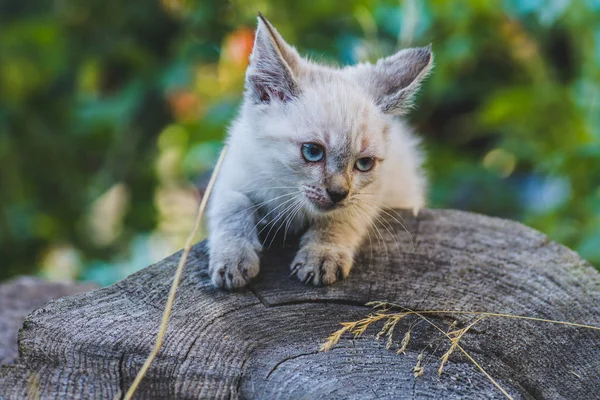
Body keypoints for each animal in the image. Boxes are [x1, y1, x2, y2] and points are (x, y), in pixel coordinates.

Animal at [206, 14, 432, 290]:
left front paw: (322, 255)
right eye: (313, 152)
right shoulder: (232, 175)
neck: (288, 193)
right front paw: (232, 259)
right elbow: (232, 209)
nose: (337, 193)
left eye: (364, 163)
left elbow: (340, 218)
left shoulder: (369, 194)